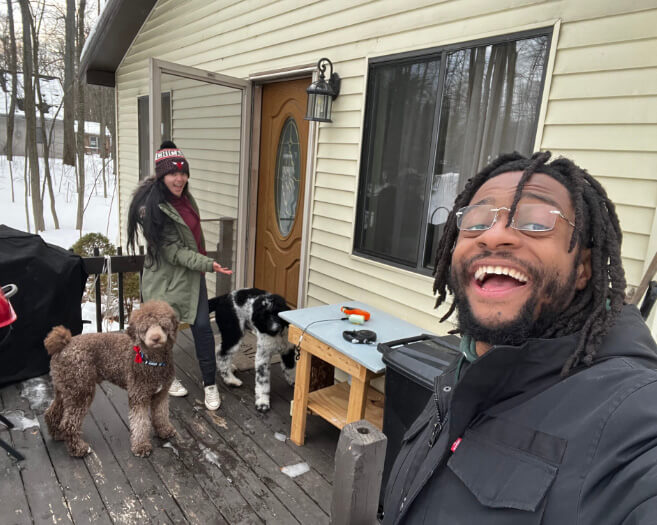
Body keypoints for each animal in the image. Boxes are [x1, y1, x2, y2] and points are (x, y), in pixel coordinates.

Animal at [44, 300, 178, 458]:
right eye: (145, 329)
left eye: (163, 326)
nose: (155, 338)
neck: (152, 360)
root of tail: (64, 345)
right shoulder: (139, 396)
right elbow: (140, 423)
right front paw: (141, 446)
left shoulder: (161, 394)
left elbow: (161, 414)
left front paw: (164, 430)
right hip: (81, 390)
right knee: (68, 424)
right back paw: (78, 448)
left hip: (65, 388)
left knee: (51, 412)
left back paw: (57, 434)